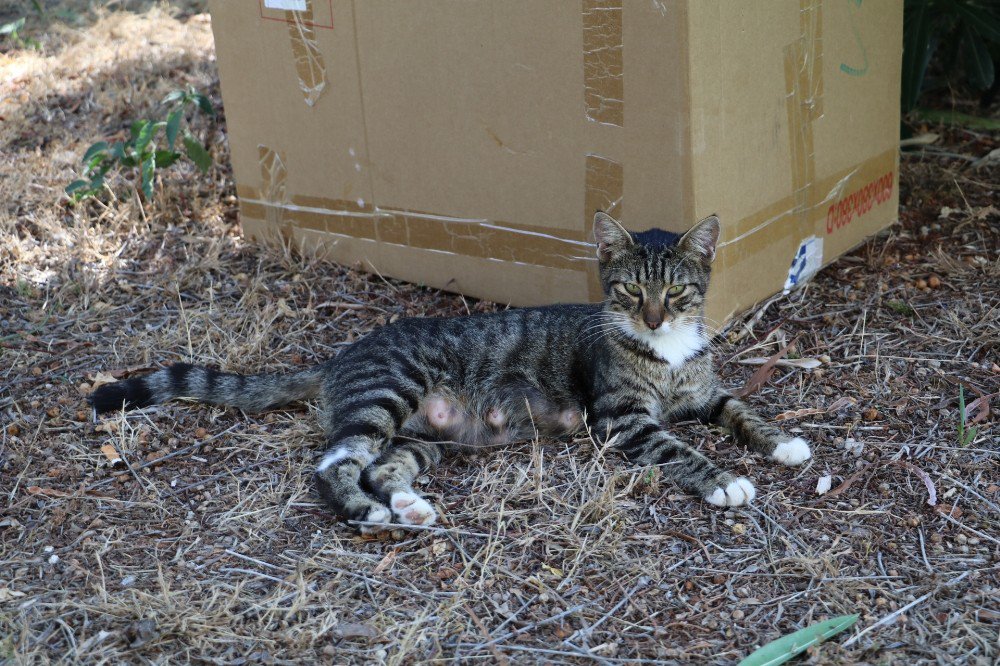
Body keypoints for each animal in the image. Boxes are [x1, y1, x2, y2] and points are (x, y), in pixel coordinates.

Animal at [92, 213, 812, 528]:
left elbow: (741, 409)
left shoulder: (706, 392)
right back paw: (369, 512)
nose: (657, 320)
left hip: (421, 438)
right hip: (386, 393)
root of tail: (339, 357)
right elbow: (678, 447)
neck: (667, 355)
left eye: (679, 292)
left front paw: (784, 444)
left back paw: (408, 504)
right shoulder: (622, 417)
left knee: (383, 465)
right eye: (633, 292)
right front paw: (724, 481)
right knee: (334, 465)